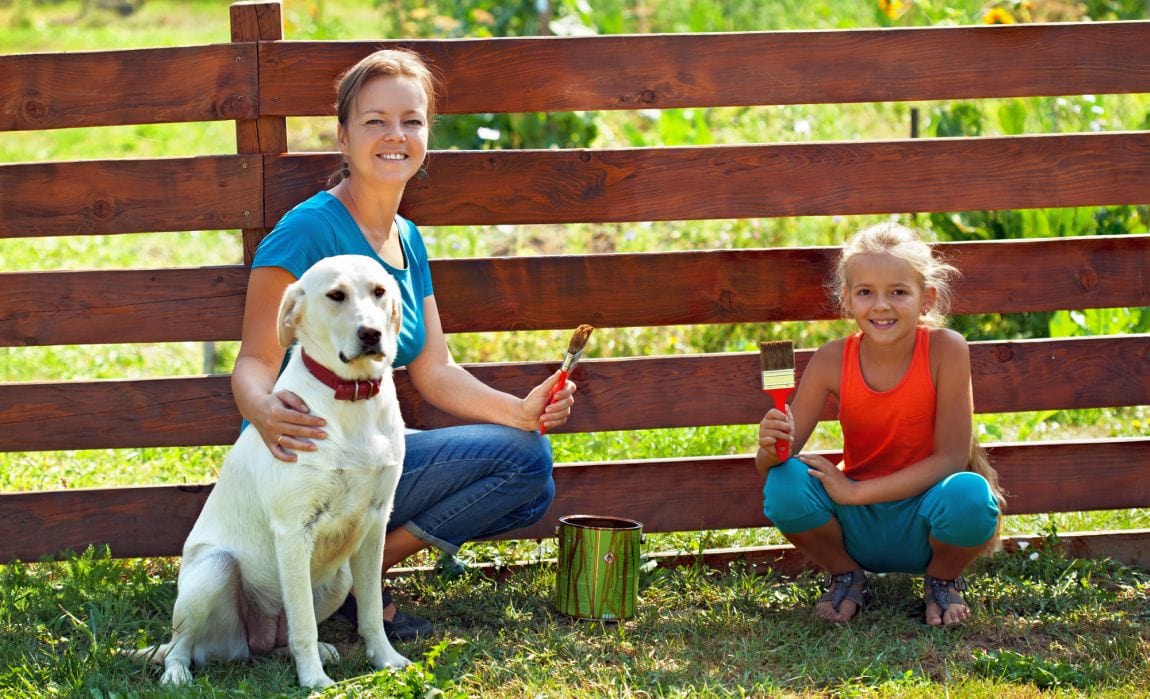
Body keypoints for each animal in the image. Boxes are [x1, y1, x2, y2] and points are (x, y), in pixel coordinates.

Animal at [139, 255, 411, 689]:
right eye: (336, 295)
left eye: (379, 291)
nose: (370, 333)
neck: (351, 399)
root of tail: (248, 644)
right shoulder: (294, 530)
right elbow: (304, 625)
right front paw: (314, 682)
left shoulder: (374, 522)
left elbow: (370, 612)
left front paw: (385, 660)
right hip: (214, 570)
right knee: (182, 645)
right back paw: (178, 673)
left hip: (339, 579)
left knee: (279, 641)